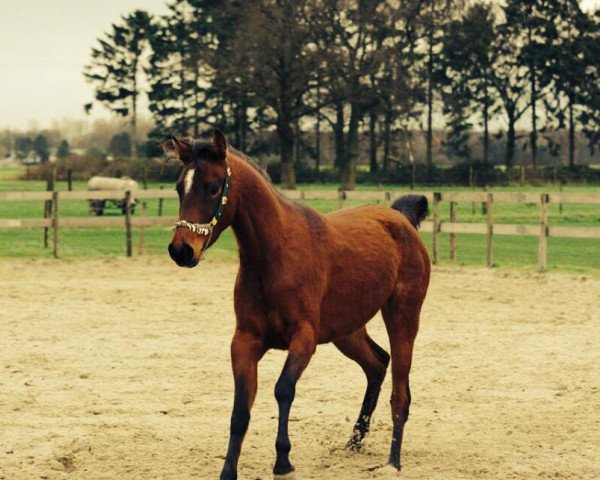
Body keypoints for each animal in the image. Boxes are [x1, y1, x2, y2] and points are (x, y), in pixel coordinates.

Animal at [165, 129, 432, 478]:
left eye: (212, 186)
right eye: (179, 187)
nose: (181, 250)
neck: (273, 256)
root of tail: (401, 219)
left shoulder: (303, 339)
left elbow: (283, 389)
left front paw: (283, 460)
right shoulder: (245, 341)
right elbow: (241, 408)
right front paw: (228, 471)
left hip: (402, 316)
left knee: (400, 392)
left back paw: (393, 462)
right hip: (347, 330)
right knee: (377, 364)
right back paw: (354, 441)